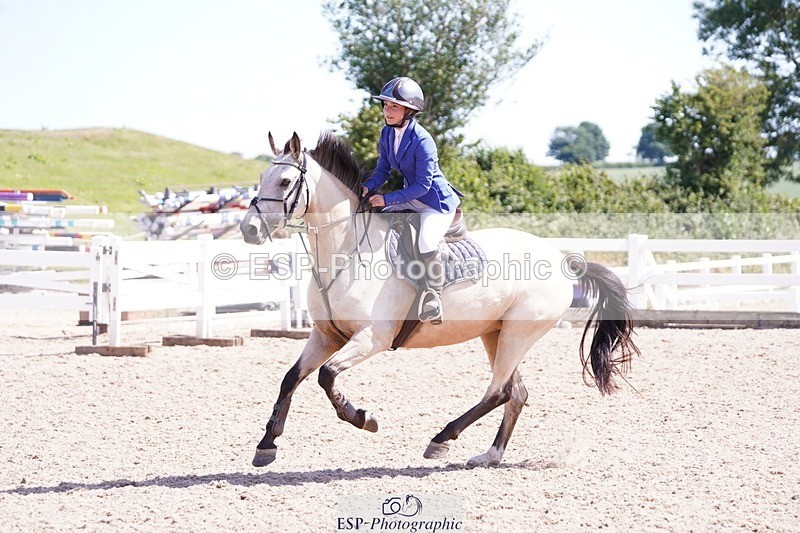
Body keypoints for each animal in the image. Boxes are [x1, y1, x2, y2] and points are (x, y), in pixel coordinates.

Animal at [239, 131, 639, 468]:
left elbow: (326, 376)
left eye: (285, 182)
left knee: (497, 392)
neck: (346, 252)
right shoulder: (326, 336)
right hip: (495, 333)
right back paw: (489, 455)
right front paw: (267, 445)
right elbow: (291, 378)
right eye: (260, 178)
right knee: (516, 393)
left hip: (518, 333)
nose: (249, 230)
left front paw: (363, 418)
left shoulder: (372, 338)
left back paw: (441, 439)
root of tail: (562, 260)